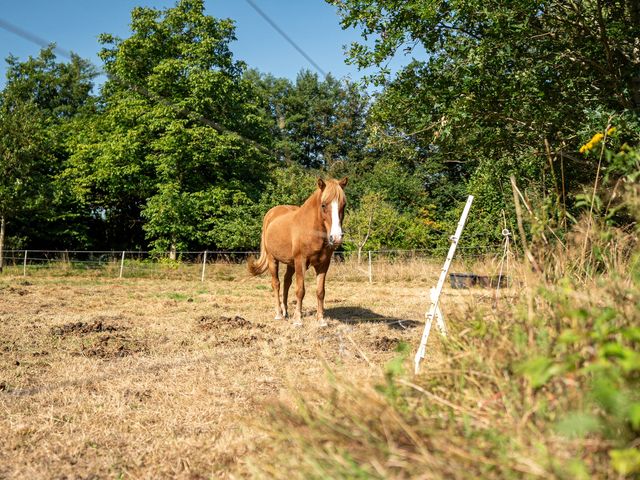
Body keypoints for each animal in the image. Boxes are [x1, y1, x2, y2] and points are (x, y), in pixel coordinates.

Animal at [250, 178, 350, 328]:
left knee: (286, 282)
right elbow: (300, 290)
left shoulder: (323, 264)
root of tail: (271, 214)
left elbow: (320, 292)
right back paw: (279, 314)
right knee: (276, 284)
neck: (311, 230)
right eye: (323, 205)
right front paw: (298, 320)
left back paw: (285, 312)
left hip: (291, 263)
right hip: (273, 259)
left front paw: (321, 320)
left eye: (343, 205)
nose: (336, 237)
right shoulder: (300, 262)